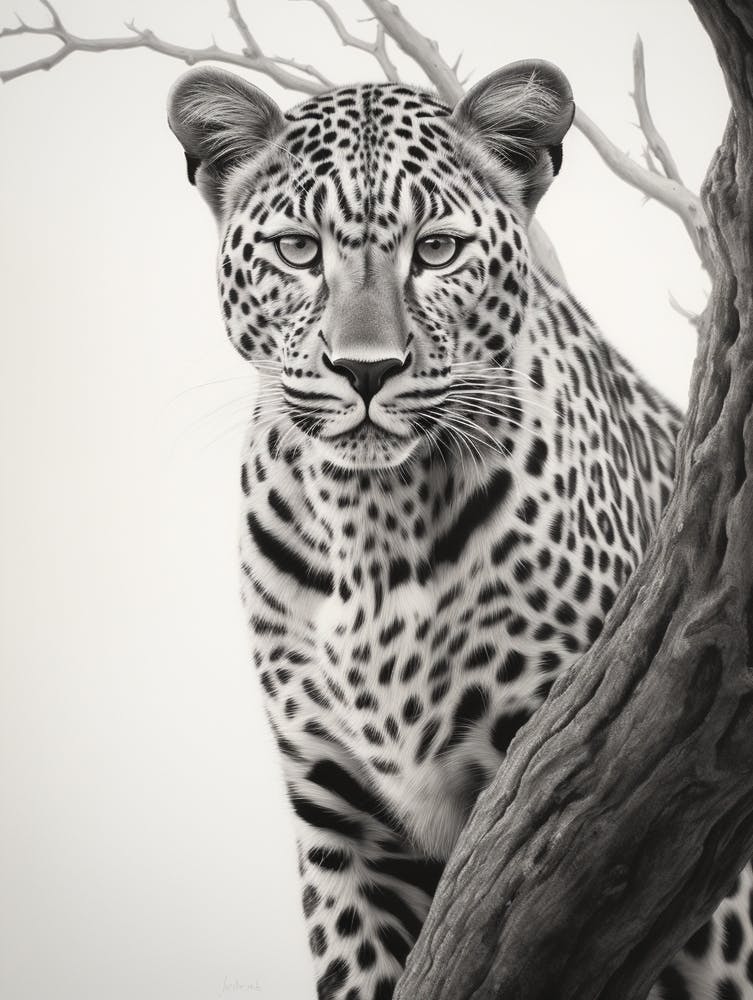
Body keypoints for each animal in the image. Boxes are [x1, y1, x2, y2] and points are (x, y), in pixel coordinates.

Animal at [167, 61, 753, 1000]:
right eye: (299, 251)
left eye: (436, 251)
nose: (364, 370)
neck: (370, 520)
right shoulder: (342, 825)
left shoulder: (571, 793)